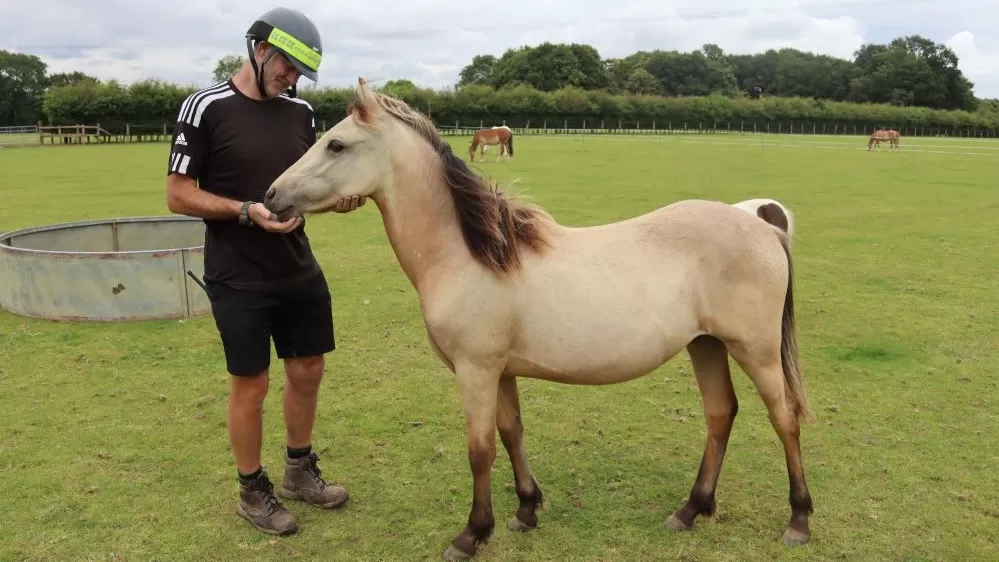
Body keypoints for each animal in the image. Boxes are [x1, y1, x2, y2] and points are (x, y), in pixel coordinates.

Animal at [262, 76, 816, 556]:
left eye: (335, 144)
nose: (270, 196)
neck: (471, 255)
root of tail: (760, 224)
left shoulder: (476, 372)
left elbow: (480, 449)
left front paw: (471, 535)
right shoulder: (501, 373)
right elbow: (511, 433)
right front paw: (526, 510)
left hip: (756, 350)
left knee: (784, 418)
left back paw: (798, 520)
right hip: (706, 344)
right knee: (721, 413)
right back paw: (691, 510)